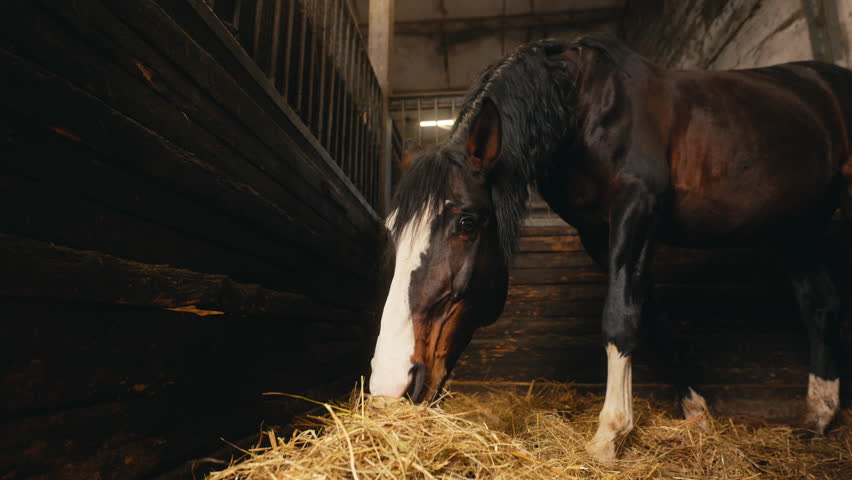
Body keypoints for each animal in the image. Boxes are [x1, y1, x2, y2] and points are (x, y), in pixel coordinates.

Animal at [368, 34, 852, 463]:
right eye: (392, 231)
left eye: (466, 223)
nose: (390, 385)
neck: (582, 108)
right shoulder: (598, 233)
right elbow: (650, 317)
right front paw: (695, 415)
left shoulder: (636, 205)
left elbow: (620, 317)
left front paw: (610, 434)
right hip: (798, 226)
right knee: (821, 305)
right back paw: (817, 418)